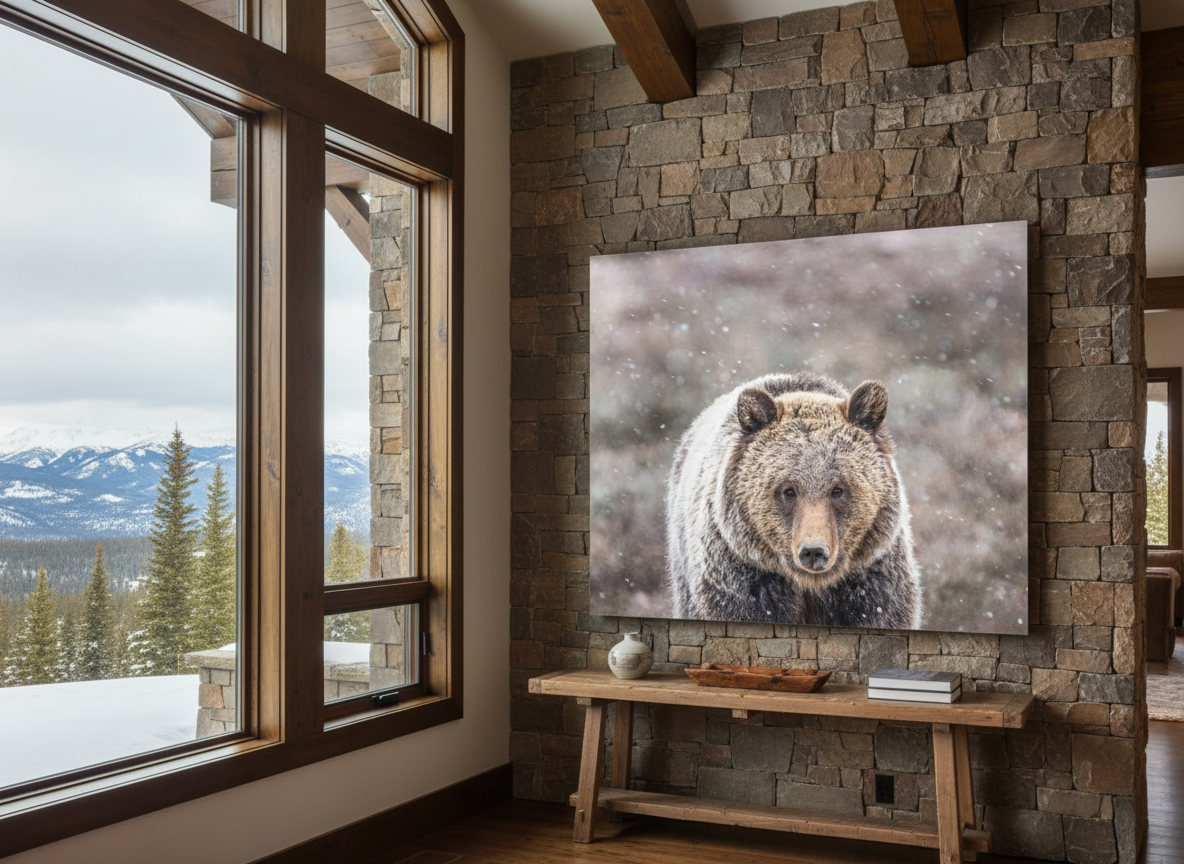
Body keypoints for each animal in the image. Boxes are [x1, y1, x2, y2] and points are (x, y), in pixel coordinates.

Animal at [665, 372, 922, 629]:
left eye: (838, 490)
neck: (809, 585)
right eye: (788, 490)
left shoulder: (869, 585)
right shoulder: (741, 581)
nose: (813, 551)